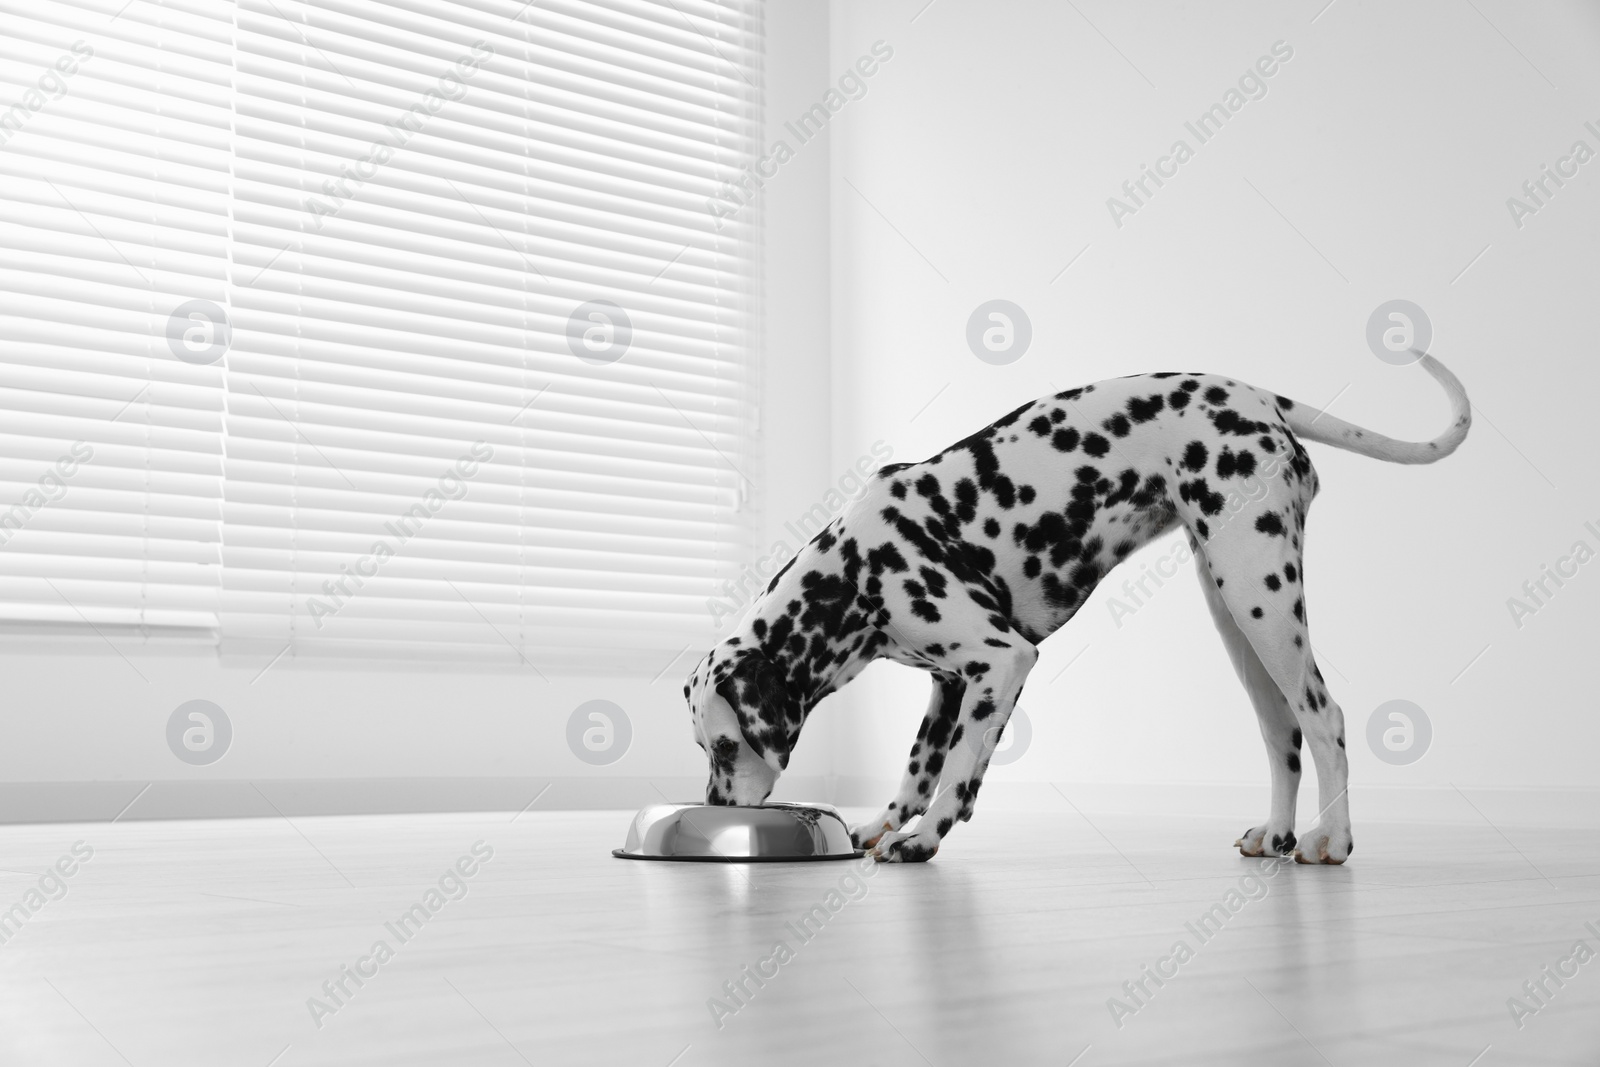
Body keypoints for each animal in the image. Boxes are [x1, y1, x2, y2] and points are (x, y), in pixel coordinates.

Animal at [681, 355, 1465, 863]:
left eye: (726, 746)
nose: (717, 810)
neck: (854, 571)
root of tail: (1259, 398)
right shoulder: (950, 683)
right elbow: (920, 767)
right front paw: (885, 824)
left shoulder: (1000, 661)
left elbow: (959, 770)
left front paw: (925, 839)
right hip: (1235, 615)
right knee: (1283, 734)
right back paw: (1274, 834)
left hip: (1261, 599)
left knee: (1324, 718)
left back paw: (1333, 842)